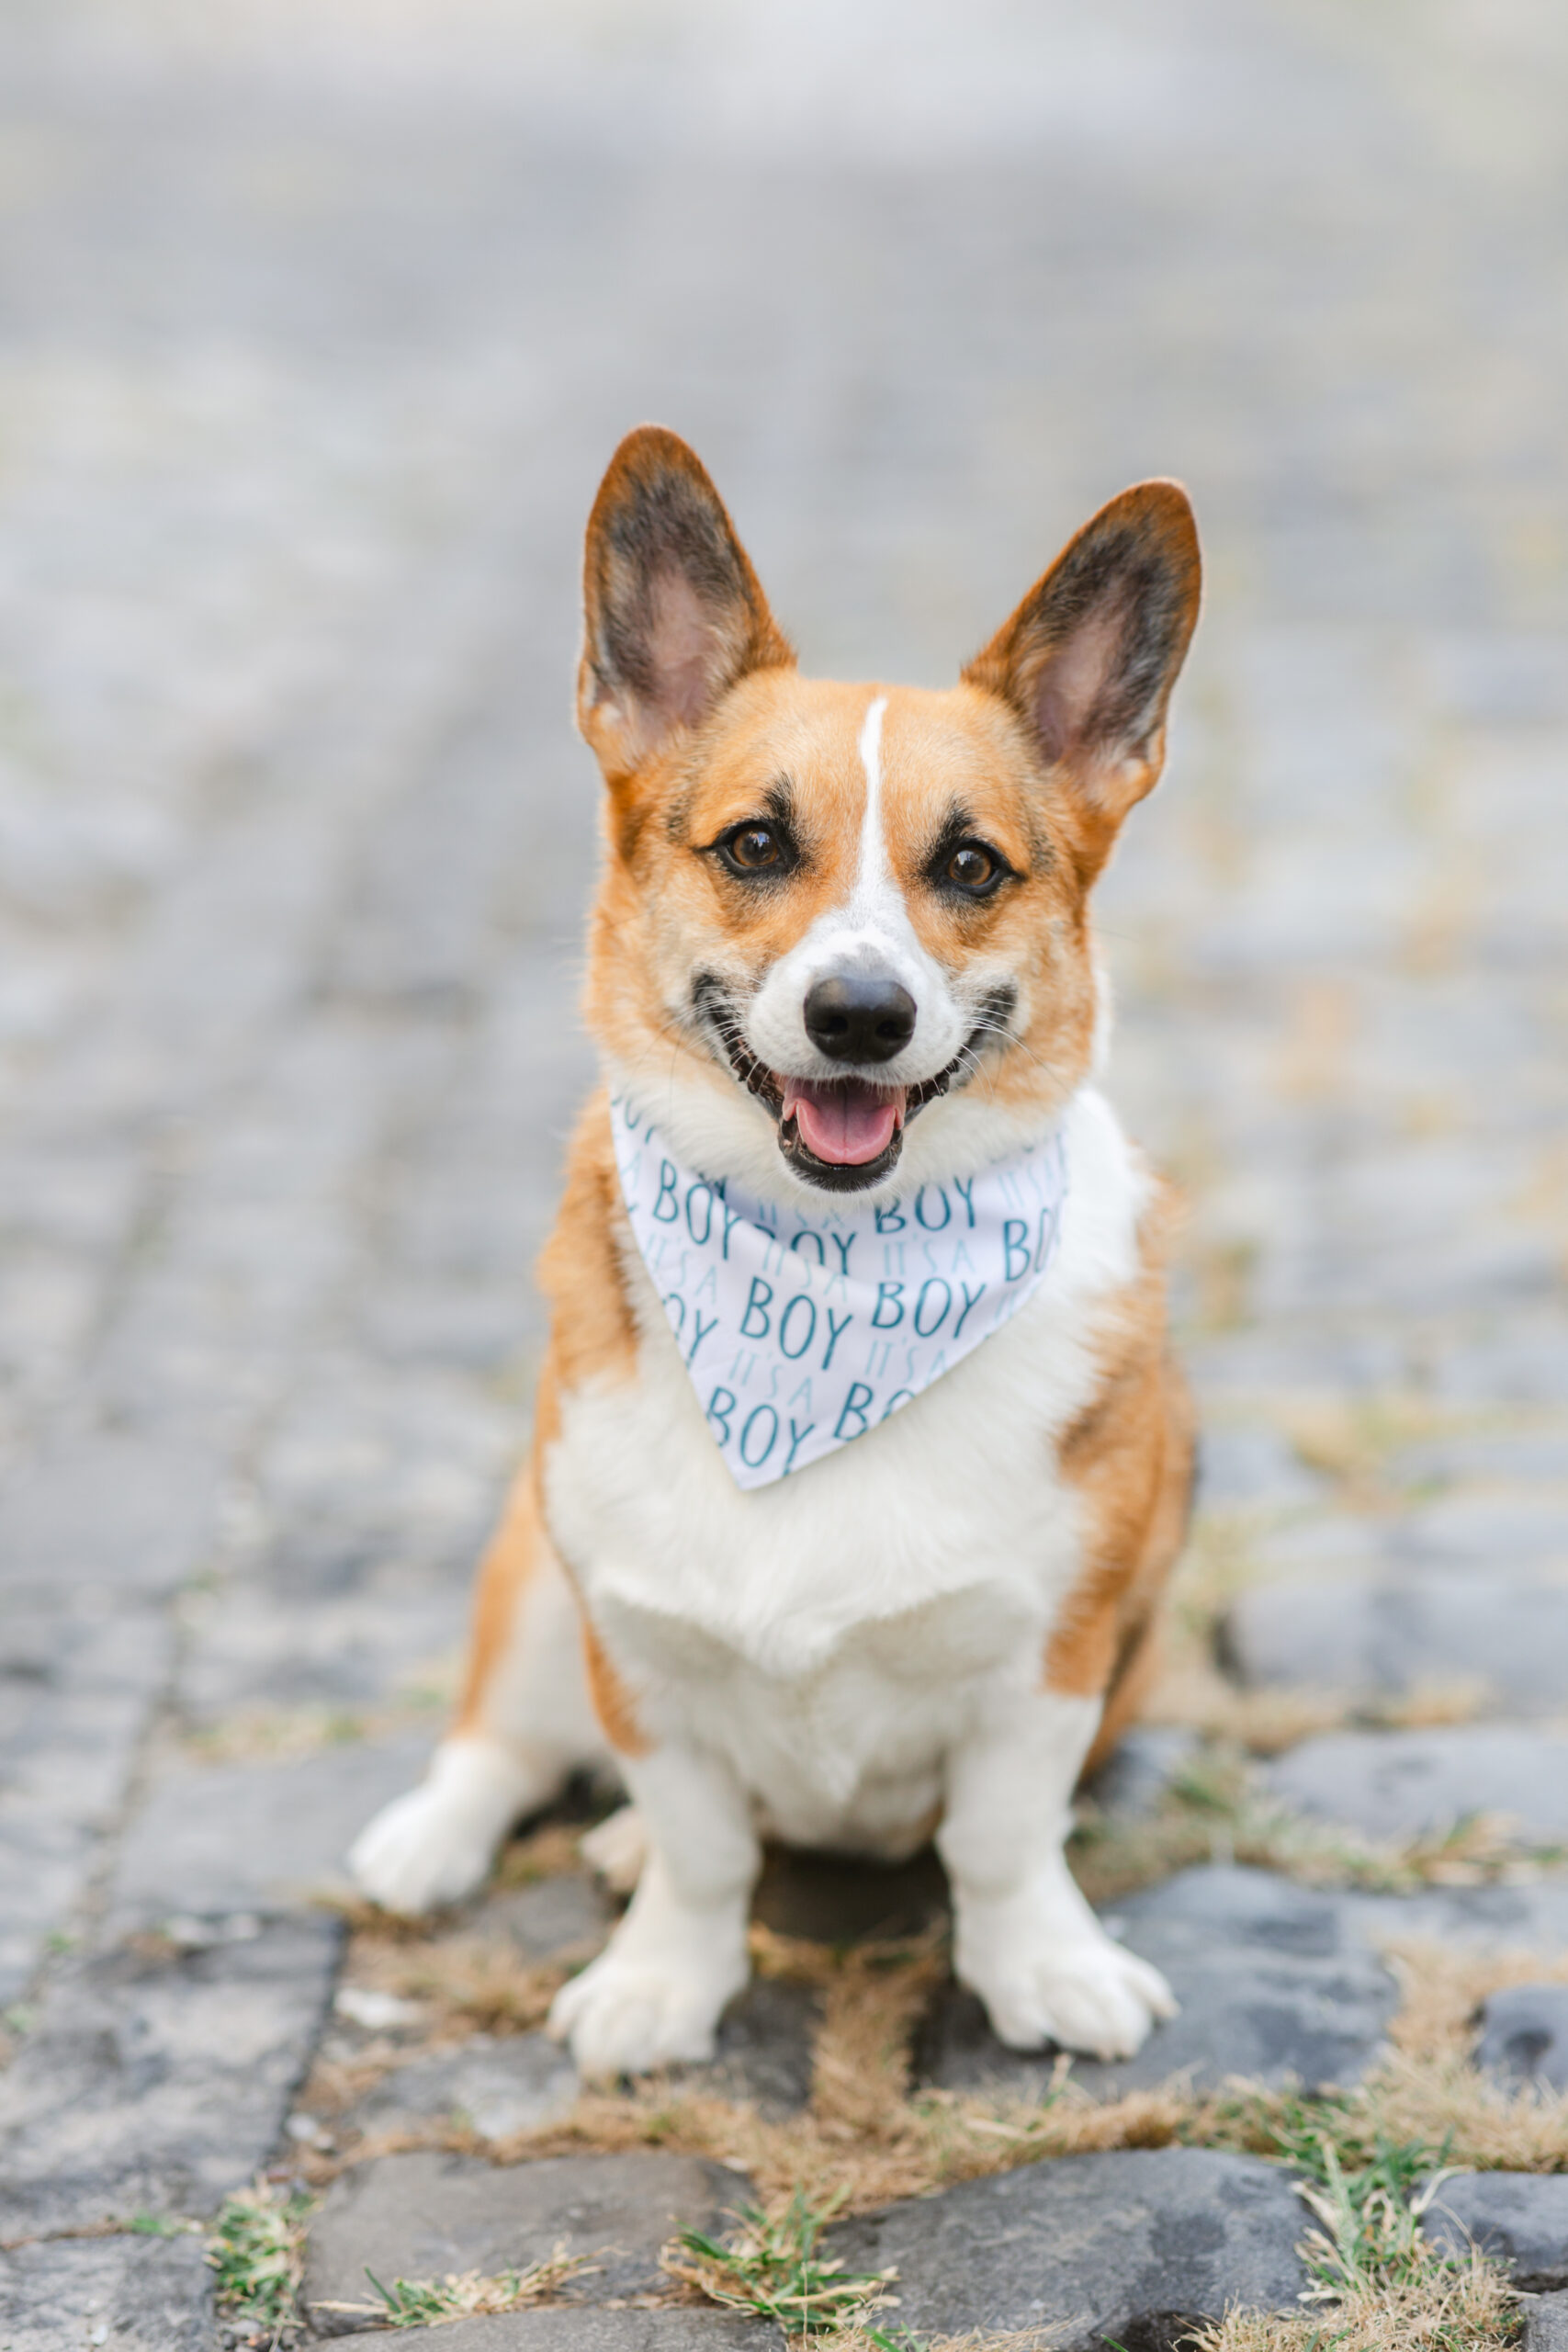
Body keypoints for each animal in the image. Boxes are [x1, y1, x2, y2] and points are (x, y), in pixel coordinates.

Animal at [352, 423, 1203, 2079]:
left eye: (972, 869)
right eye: (753, 844)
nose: (859, 1016)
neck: (829, 1272)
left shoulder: (1050, 1662)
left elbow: (1000, 1842)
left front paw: (1039, 1968)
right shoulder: (636, 1651)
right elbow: (701, 1848)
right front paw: (660, 1982)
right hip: (535, 1585)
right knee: (501, 1742)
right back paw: (434, 1840)